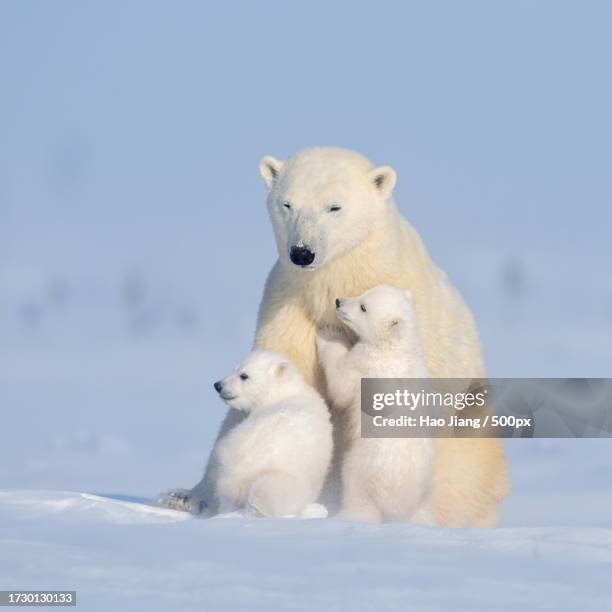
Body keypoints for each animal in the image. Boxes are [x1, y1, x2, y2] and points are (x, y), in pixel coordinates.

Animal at [316, 284, 436, 524]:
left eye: (363, 307)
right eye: (363, 293)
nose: (338, 302)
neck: (395, 347)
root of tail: (399, 503)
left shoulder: (367, 364)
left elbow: (341, 383)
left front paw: (328, 333)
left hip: (363, 466)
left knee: (358, 495)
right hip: (425, 493)